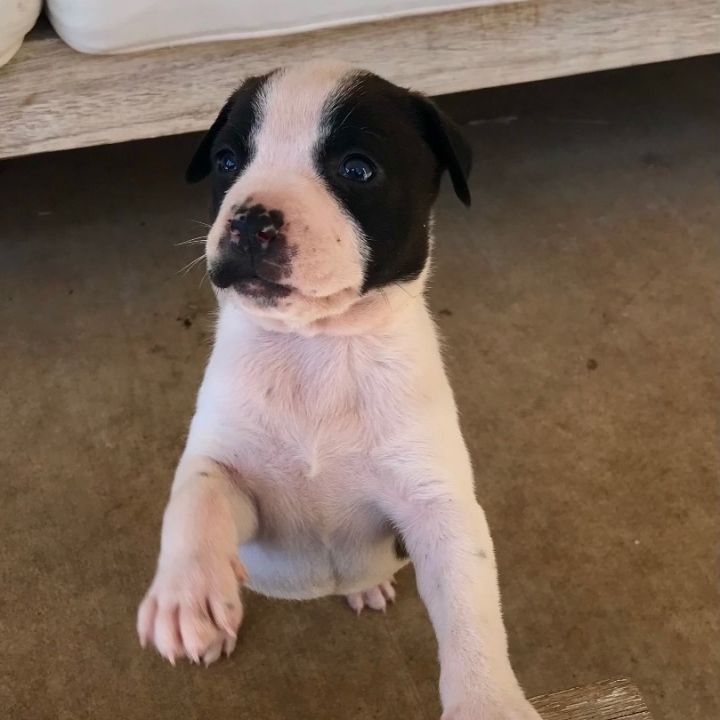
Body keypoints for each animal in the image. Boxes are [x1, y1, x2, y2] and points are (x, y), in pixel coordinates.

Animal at [136, 62, 540, 720]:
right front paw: (186, 596)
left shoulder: (436, 507)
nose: (251, 219)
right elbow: (196, 500)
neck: (317, 350)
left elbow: (472, 612)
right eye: (227, 161)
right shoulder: (237, 480)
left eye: (357, 169)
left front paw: (488, 702)